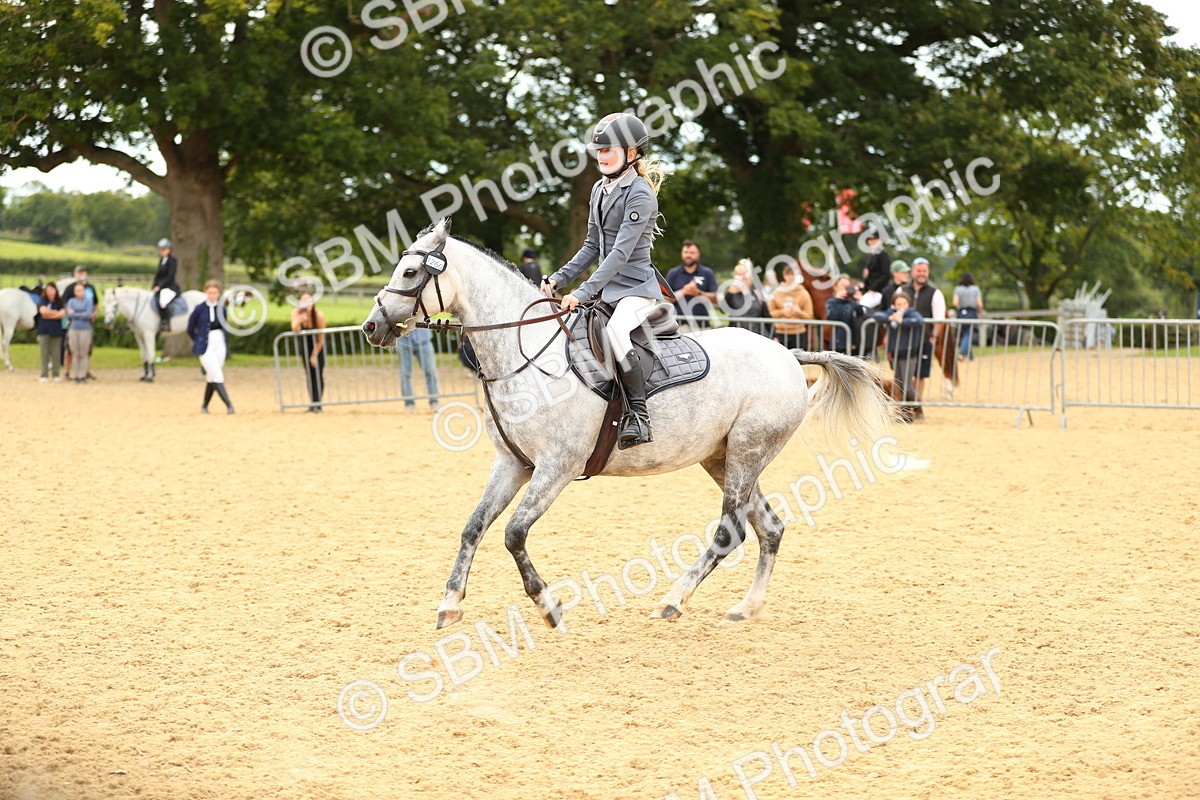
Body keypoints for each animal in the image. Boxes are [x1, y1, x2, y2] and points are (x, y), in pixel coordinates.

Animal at [361, 219, 898, 630]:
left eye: (411, 270)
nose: (371, 327)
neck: (525, 353)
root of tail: (788, 353)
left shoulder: (556, 468)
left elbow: (513, 534)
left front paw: (550, 607)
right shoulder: (513, 464)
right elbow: (473, 527)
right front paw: (449, 606)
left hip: (748, 452)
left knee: (730, 532)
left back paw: (674, 600)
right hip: (723, 458)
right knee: (769, 528)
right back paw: (745, 608)